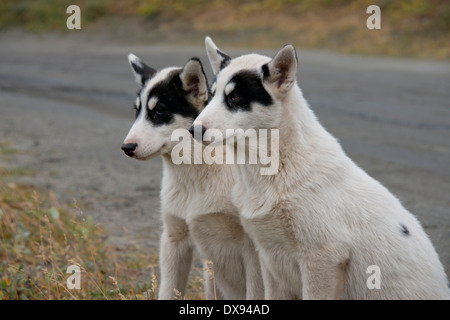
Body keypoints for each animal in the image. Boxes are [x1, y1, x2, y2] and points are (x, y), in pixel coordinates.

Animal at [121, 55, 266, 300]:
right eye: (137, 111)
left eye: (159, 111)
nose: (126, 148)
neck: (195, 174)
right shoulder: (173, 240)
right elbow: (167, 291)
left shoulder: (254, 251)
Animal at [192, 37, 450, 300]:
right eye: (211, 95)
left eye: (235, 98)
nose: (194, 130)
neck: (277, 168)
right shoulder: (270, 261)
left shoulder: (323, 259)